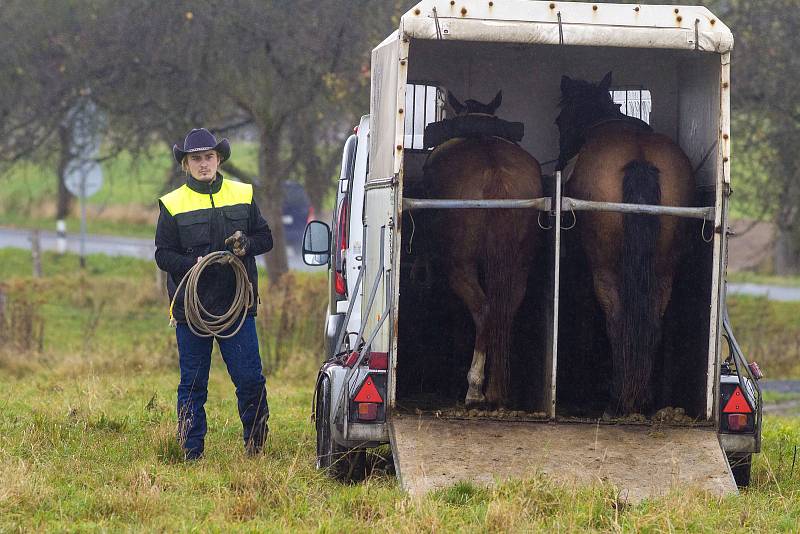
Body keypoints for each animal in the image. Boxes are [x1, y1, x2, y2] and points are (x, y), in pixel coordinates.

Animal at [422, 93, 540, 410]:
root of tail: (495, 173)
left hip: (460, 265)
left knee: (483, 309)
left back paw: (474, 388)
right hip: (519, 265)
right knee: (505, 309)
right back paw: (499, 389)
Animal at [556, 74, 692, 418]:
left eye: (559, 120)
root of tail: (639, 158)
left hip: (604, 268)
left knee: (616, 319)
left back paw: (619, 400)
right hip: (663, 269)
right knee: (651, 320)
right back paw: (640, 398)